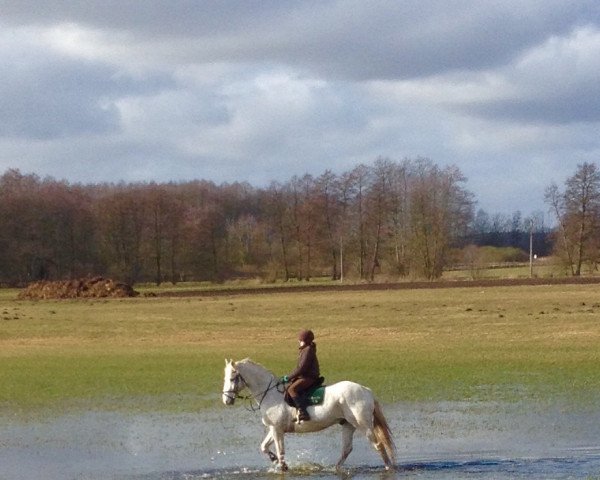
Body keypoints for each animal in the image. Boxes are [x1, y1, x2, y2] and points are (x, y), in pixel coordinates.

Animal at [220, 358, 394, 470]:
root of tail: (366, 390)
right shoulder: (274, 429)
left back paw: (388, 468)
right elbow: (264, 447)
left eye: (233, 377)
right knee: (346, 449)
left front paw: (282, 466)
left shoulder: (277, 430)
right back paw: (335, 469)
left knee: (378, 445)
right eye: (225, 377)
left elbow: (281, 452)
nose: (226, 400)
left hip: (363, 425)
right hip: (348, 425)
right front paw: (273, 459)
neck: (270, 394)